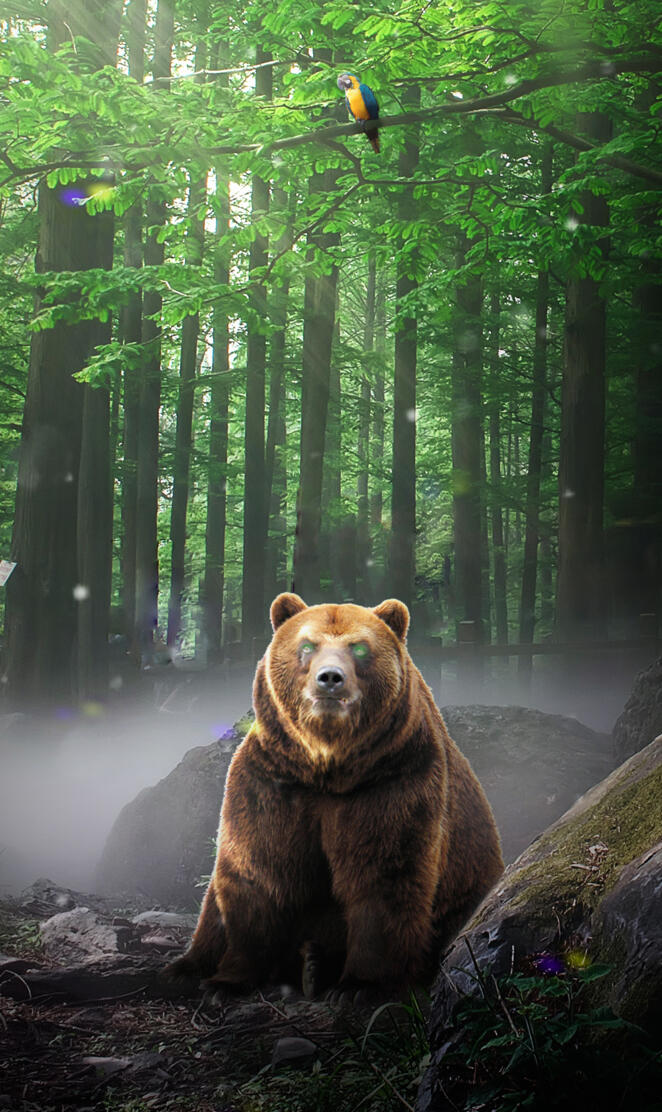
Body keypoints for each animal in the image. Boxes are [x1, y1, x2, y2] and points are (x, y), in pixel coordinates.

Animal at [166, 593, 503, 999]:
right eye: (307, 645)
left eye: (358, 647)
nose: (330, 678)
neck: (328, 767)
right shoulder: (274, 782)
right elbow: (260, 869)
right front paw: (227, 981)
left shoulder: (392, 780)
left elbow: (384, 875)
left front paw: (361, 984)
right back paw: (190, 968)